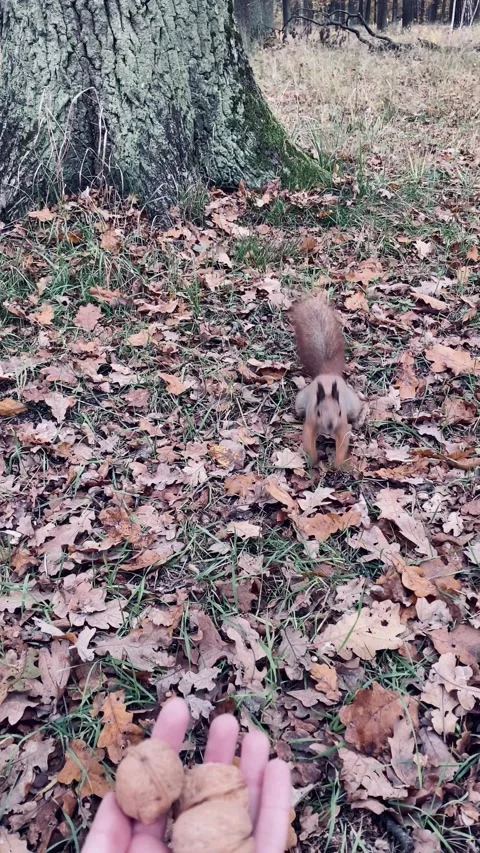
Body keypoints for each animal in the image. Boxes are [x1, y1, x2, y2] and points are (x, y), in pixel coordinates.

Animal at [290, 293, 362, 466]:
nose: (329, 426)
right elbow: (308, 437)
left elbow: (343, 441)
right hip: (300, 403)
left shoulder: (341, 424)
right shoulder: (311, 420)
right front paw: (313, 459)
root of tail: (328, 373)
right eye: (318, 412)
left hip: (353, 406)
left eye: (339, 411)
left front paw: (338, 464)